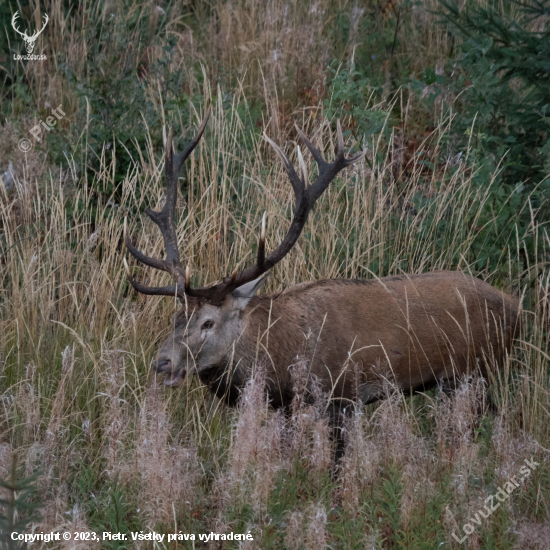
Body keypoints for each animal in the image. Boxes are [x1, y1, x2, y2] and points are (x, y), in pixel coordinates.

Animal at [122, 111, 520, 462]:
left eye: (208, 322)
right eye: (176, 317)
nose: (162, 362)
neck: (284, 358)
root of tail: (518, 307)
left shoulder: (344, 396)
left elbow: (337, 468)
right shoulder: (285, 408)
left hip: (479, 370)